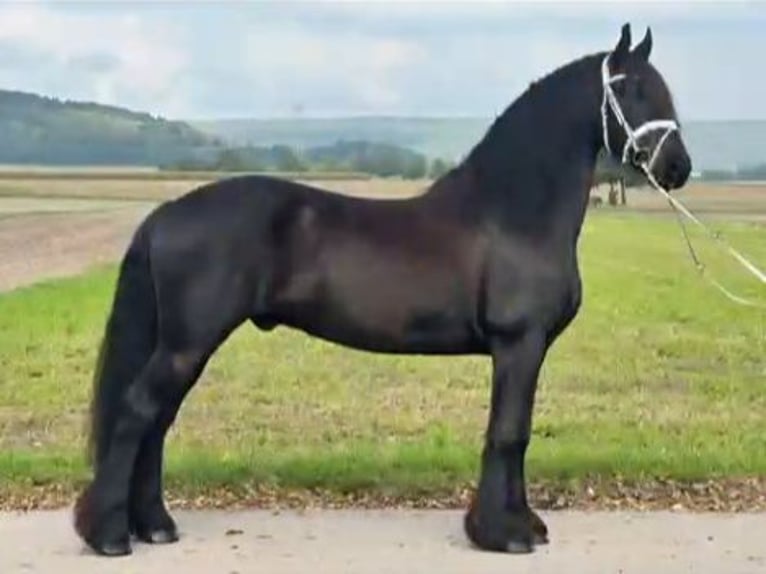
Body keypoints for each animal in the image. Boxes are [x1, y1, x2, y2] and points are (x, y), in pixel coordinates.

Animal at [74, 23, 691, 556]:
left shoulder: (525, 350)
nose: (678, 167)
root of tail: (165, 214)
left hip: (182, 347)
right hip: (187, 344)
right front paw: (503, 534)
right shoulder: (519, 343)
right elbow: (509, 433)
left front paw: (522, 525)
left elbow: (517, 433)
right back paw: (110, 536)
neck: (512, 212)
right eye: (628, 88)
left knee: (157, 421)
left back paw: (155, 526)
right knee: (138, 413)